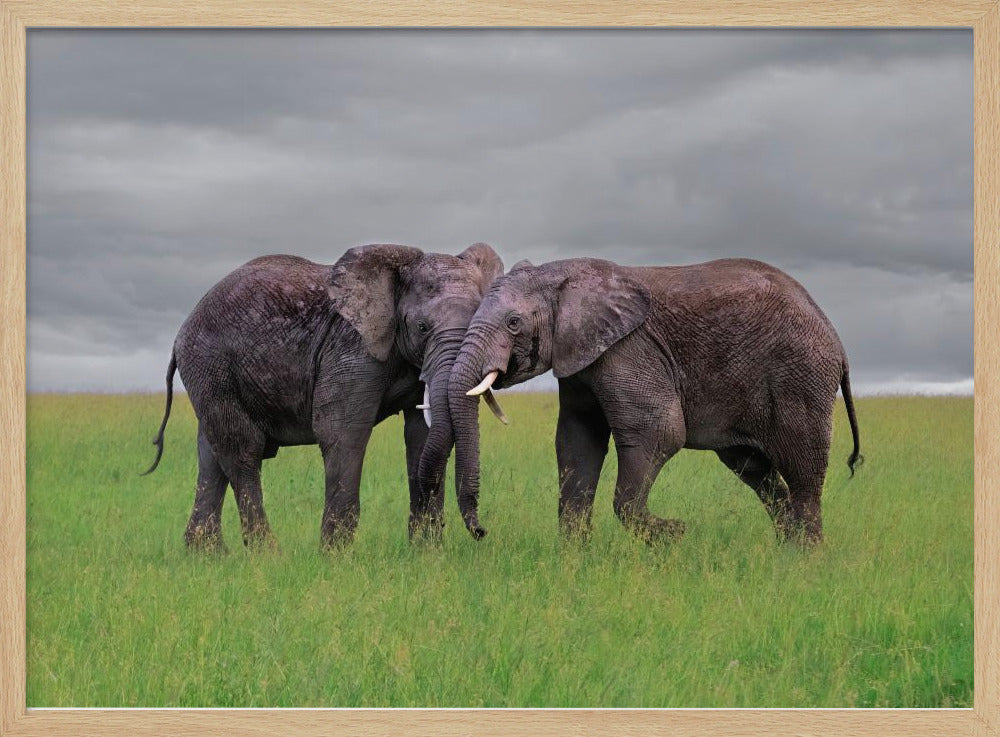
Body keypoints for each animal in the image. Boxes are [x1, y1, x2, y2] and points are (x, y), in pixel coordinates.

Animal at [142, 242, 505, 550]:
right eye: (422, 328)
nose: (480, 531)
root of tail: (181, 333)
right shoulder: (351, 349)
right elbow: (343, 432)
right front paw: (336, 556)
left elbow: (421, 436)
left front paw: (426, 555)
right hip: (211, 365)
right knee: (242, 450)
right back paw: (267, 556)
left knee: (210, 455)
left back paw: (209, 556)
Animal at [448, 257, 862, 545]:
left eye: (514, 323)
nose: (482, 532)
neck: (565, 273)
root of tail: (835, 336)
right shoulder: (582, 359)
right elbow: (577, 443)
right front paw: (574, 560)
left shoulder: (628, 349)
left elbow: (658, 432)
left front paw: (674, 534)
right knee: (757, 473)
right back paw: (787, 552)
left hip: (800, 377)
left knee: (802, 473)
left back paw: (806, 560)